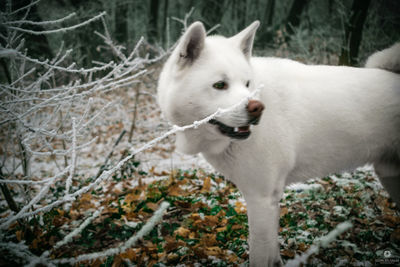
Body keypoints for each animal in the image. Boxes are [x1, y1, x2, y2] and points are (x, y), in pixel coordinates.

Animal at [157, 21, 400, 267]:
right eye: (220, 85)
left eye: (247, 84)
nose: (257, 108)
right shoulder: (270, 202)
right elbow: (273, 252)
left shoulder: (261, 201)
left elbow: (259, 255)